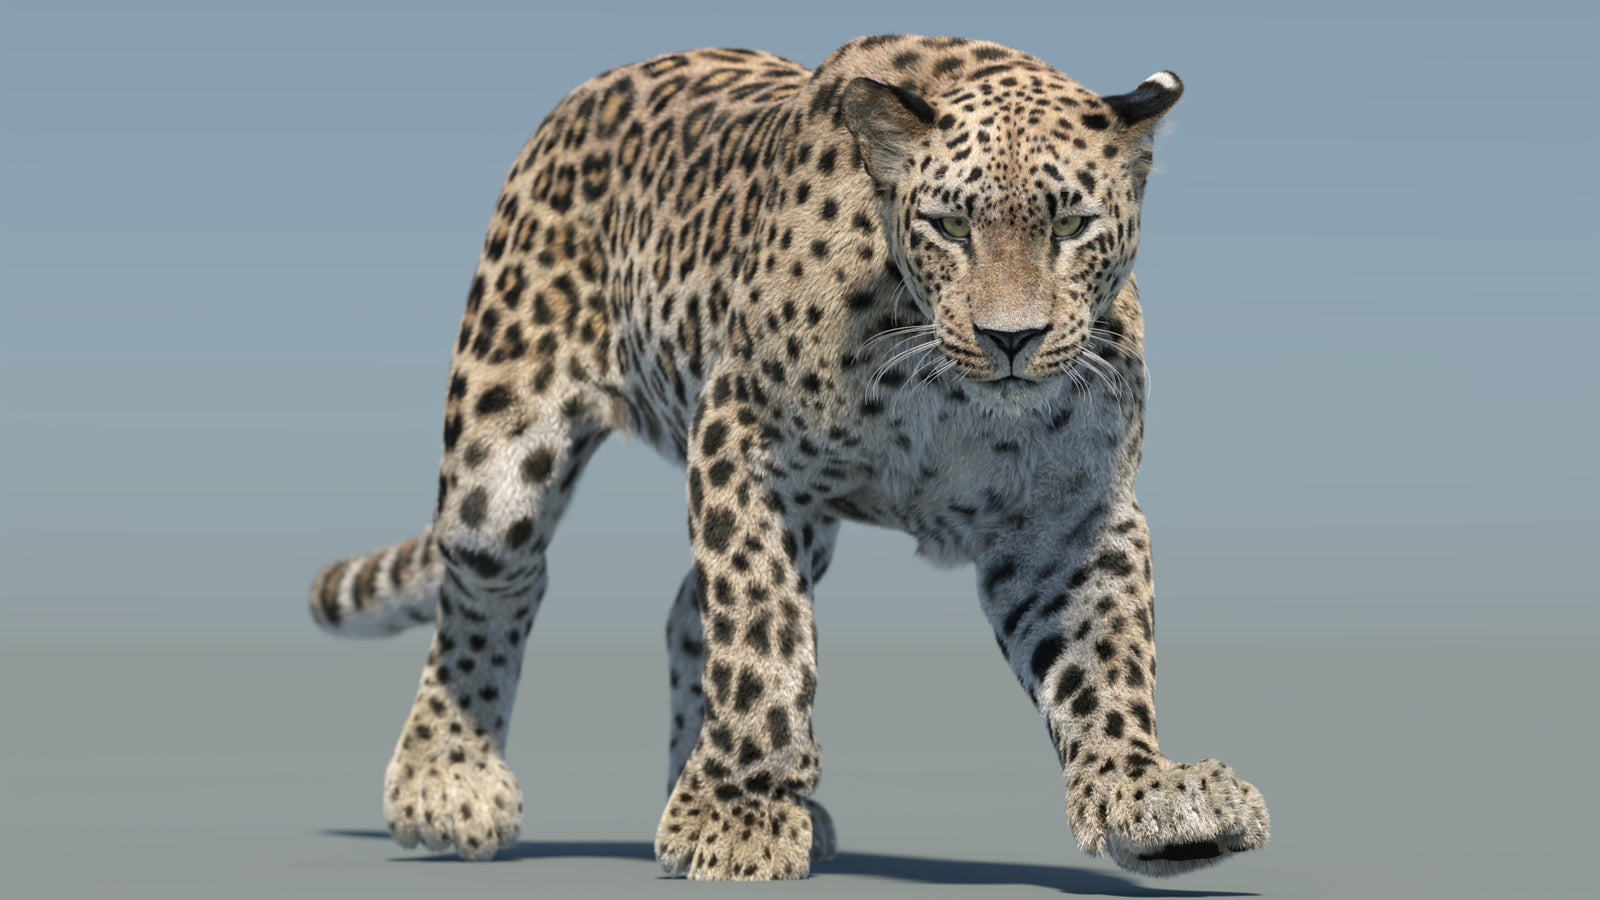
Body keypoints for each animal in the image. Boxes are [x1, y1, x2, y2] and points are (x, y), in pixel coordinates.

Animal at [309, 34, 1269, 881]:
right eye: (951, 226)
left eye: (1070, 223)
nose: (1011, 339)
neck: (941, 386)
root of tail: (587, 91)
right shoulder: (744, 439)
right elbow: (760, 628)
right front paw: (740, 816)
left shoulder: (1067, 511)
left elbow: (1104, 652)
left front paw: (1148, 794)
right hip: (502, 441)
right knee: (492, 580)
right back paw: (446, 782)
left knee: (681, 614)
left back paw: (687, 789)